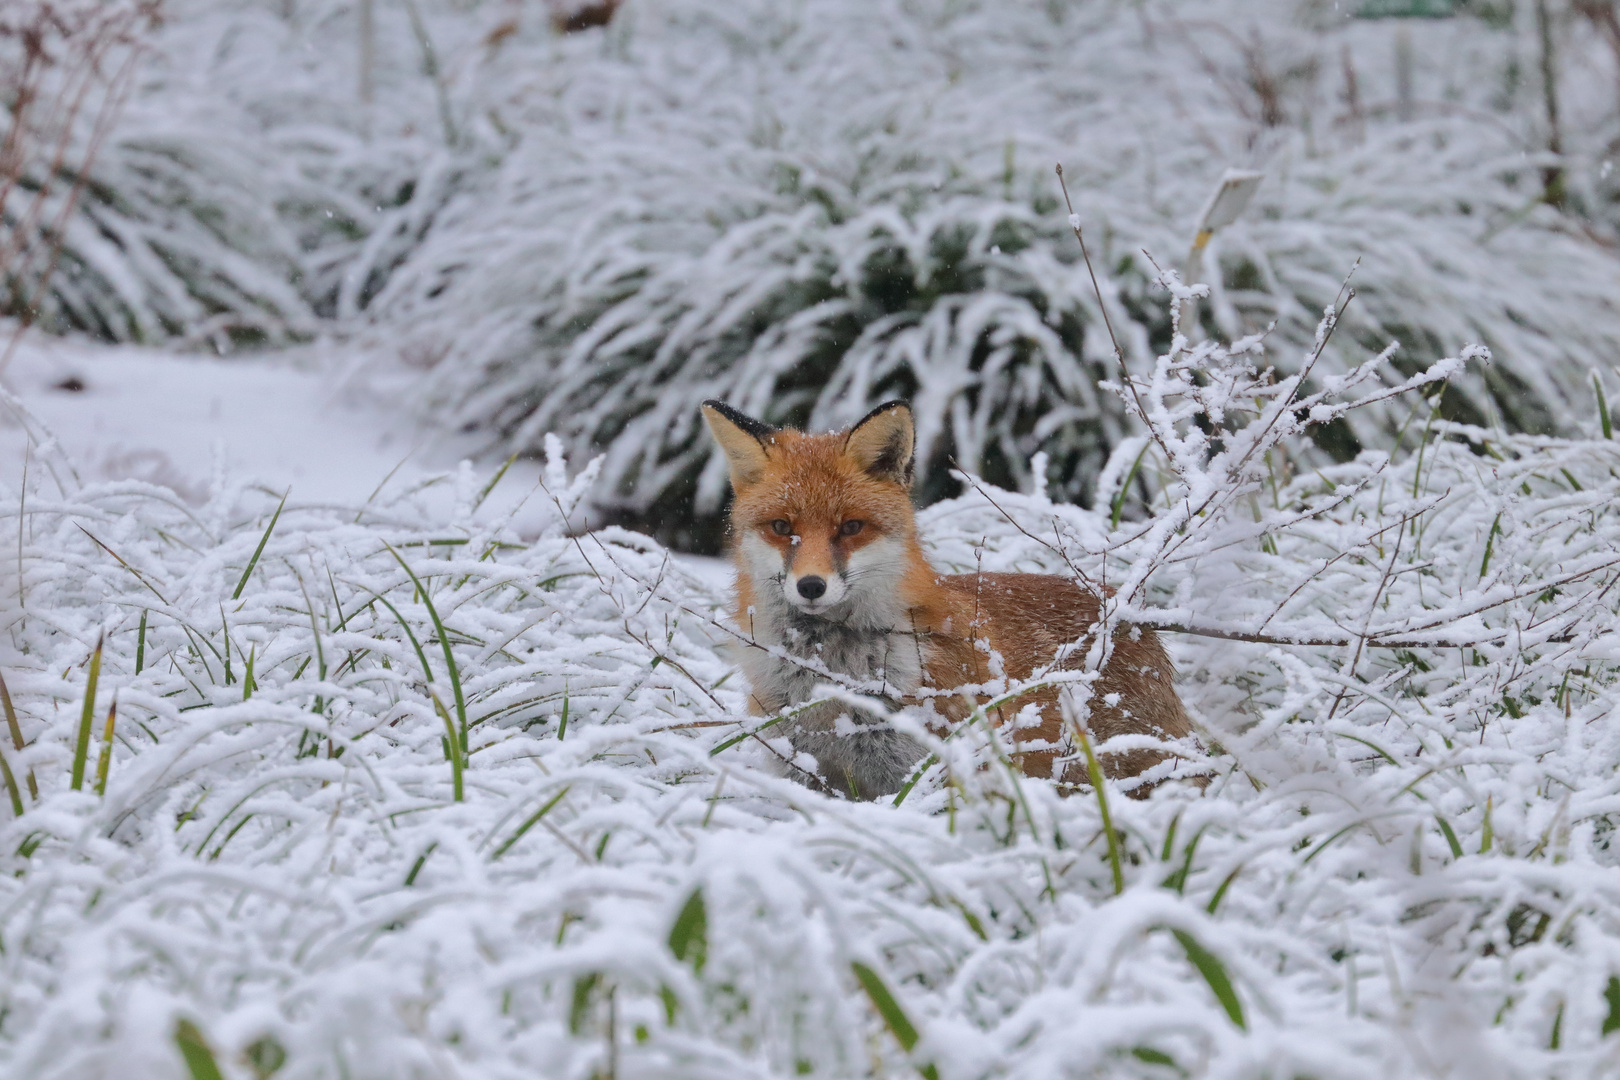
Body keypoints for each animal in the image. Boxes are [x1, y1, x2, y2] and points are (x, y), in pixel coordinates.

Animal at [699, 399, 1205, 803]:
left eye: (851, 527)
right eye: (782, 527)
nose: (810, 586)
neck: (831, 681)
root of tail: (1126, 611)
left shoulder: (933, 769)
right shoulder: (805, 771)